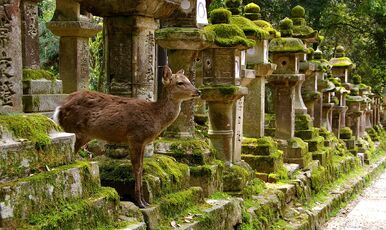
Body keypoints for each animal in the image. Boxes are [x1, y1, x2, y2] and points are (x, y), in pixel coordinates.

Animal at [52, 65, 201, 208]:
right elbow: (137, 168)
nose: (198, 91)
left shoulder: (143, 142)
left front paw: (145, 201)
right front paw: (140, 202)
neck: (155, 117)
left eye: (188, 80)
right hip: (76, 131)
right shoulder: (135, 137)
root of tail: (59, 109)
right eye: (180, 82)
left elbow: (142, 167)